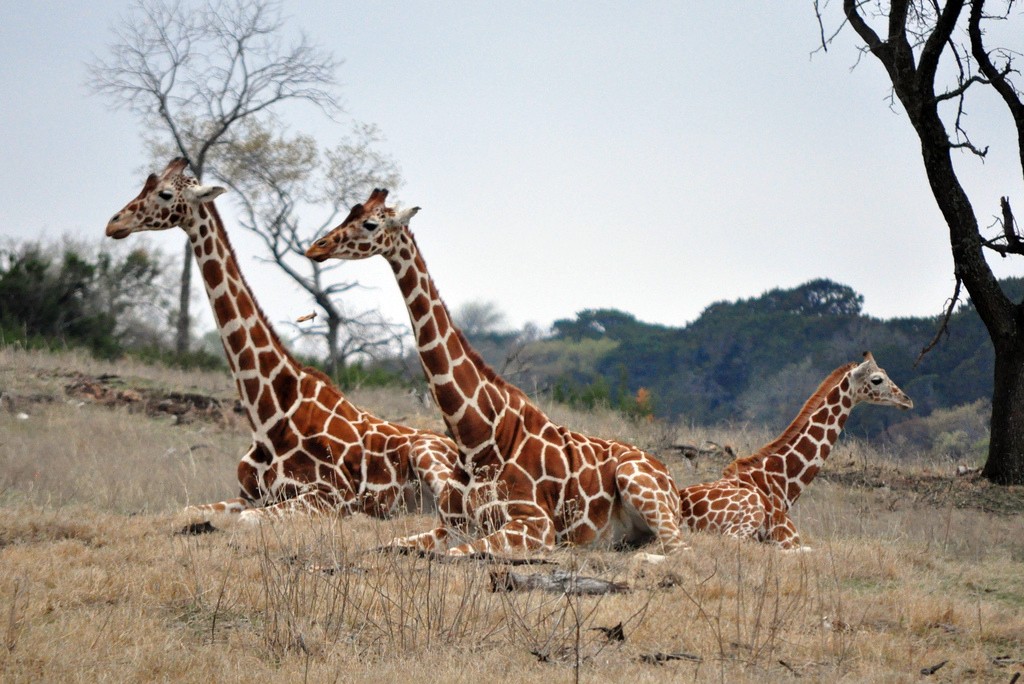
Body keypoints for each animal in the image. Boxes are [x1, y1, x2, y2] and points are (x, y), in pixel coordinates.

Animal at [104, 160, 456, 524]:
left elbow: (247, 520)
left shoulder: (333, 495)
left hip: (428, 462)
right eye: (146, 184)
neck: (267, 416)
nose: (114, 223)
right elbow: (184, 511)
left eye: (164, 193)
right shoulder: (248, 494)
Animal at [303, 187, 688, 557]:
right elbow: (386, 545)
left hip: (636, 482)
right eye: (350, 213)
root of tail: (668, 476)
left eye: (370, 224)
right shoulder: (449, 524)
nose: (316, 247)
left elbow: (458, 554)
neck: (474, 436)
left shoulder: (536, 525)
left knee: (676, 548)